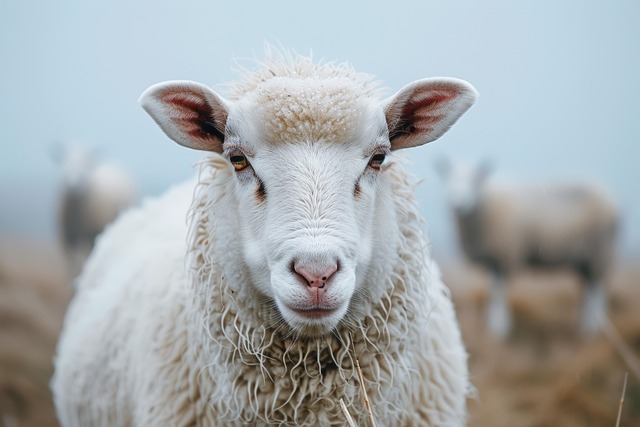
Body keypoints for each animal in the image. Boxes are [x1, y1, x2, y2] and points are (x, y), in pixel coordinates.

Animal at [53, 143, 136, 279]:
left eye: (87, 161)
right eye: (64, 160)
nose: (73, 186)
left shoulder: (93, 233)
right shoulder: (67, 237)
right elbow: (71, 265)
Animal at [437, 159, 618, 338]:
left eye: (475, 180)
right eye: (449, 178)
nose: (458, 204)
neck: (486, 204)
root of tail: (611, 198)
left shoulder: (506, 257)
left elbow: (499, 293)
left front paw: (499, 328)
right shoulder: (494, 261)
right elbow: (492, 290)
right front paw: (494, 324)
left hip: (600, 251)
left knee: (597, 289)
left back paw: (591, 328)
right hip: (586, 260)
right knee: (588, 287)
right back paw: (586, 325)